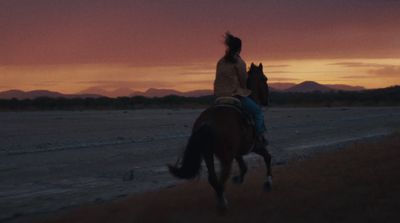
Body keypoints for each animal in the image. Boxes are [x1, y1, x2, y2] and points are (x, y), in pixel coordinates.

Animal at [169, 63, 272, 211]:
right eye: (265, 79)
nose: (266, 101)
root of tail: (207, 122)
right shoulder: (255, 146)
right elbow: (267, 157)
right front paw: (268, 182)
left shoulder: (237, 152)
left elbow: (244, 166)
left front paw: (239, 178)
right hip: (225, 158)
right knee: (222, 178)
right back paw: (222, 201)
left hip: (208, 155)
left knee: (213, 178)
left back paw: (220, 198)